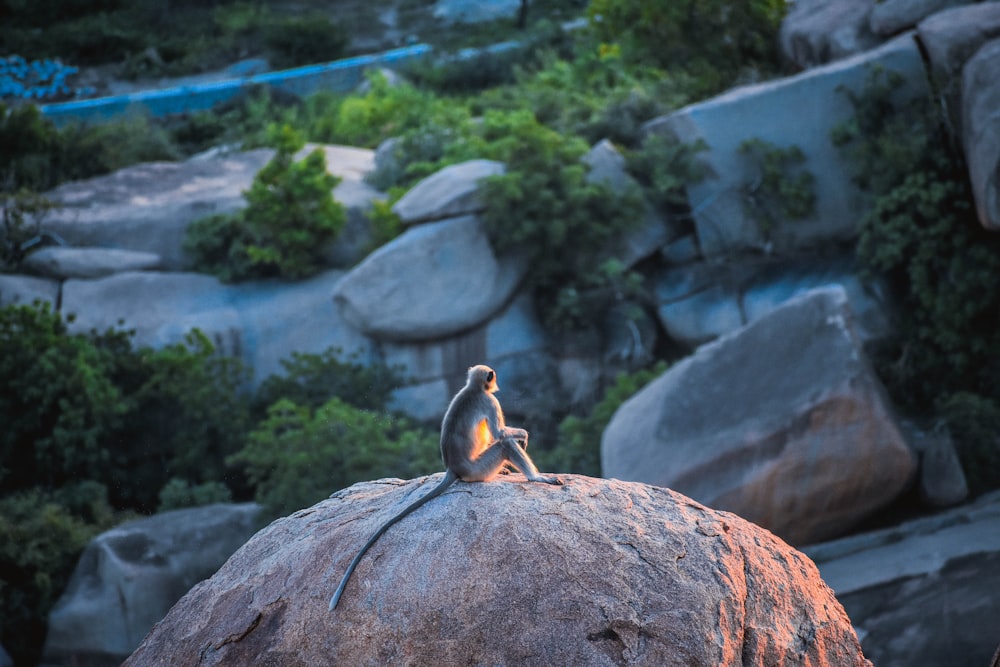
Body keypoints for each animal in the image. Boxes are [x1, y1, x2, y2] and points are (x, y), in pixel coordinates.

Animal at [330, 366, 560, 612]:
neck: (473, 388)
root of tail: (453, 468)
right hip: (478, 469)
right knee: (505, 444)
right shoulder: (489, 401)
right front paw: (523, 435)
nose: (496, 381)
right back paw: (536, 477)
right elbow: (499, 433)